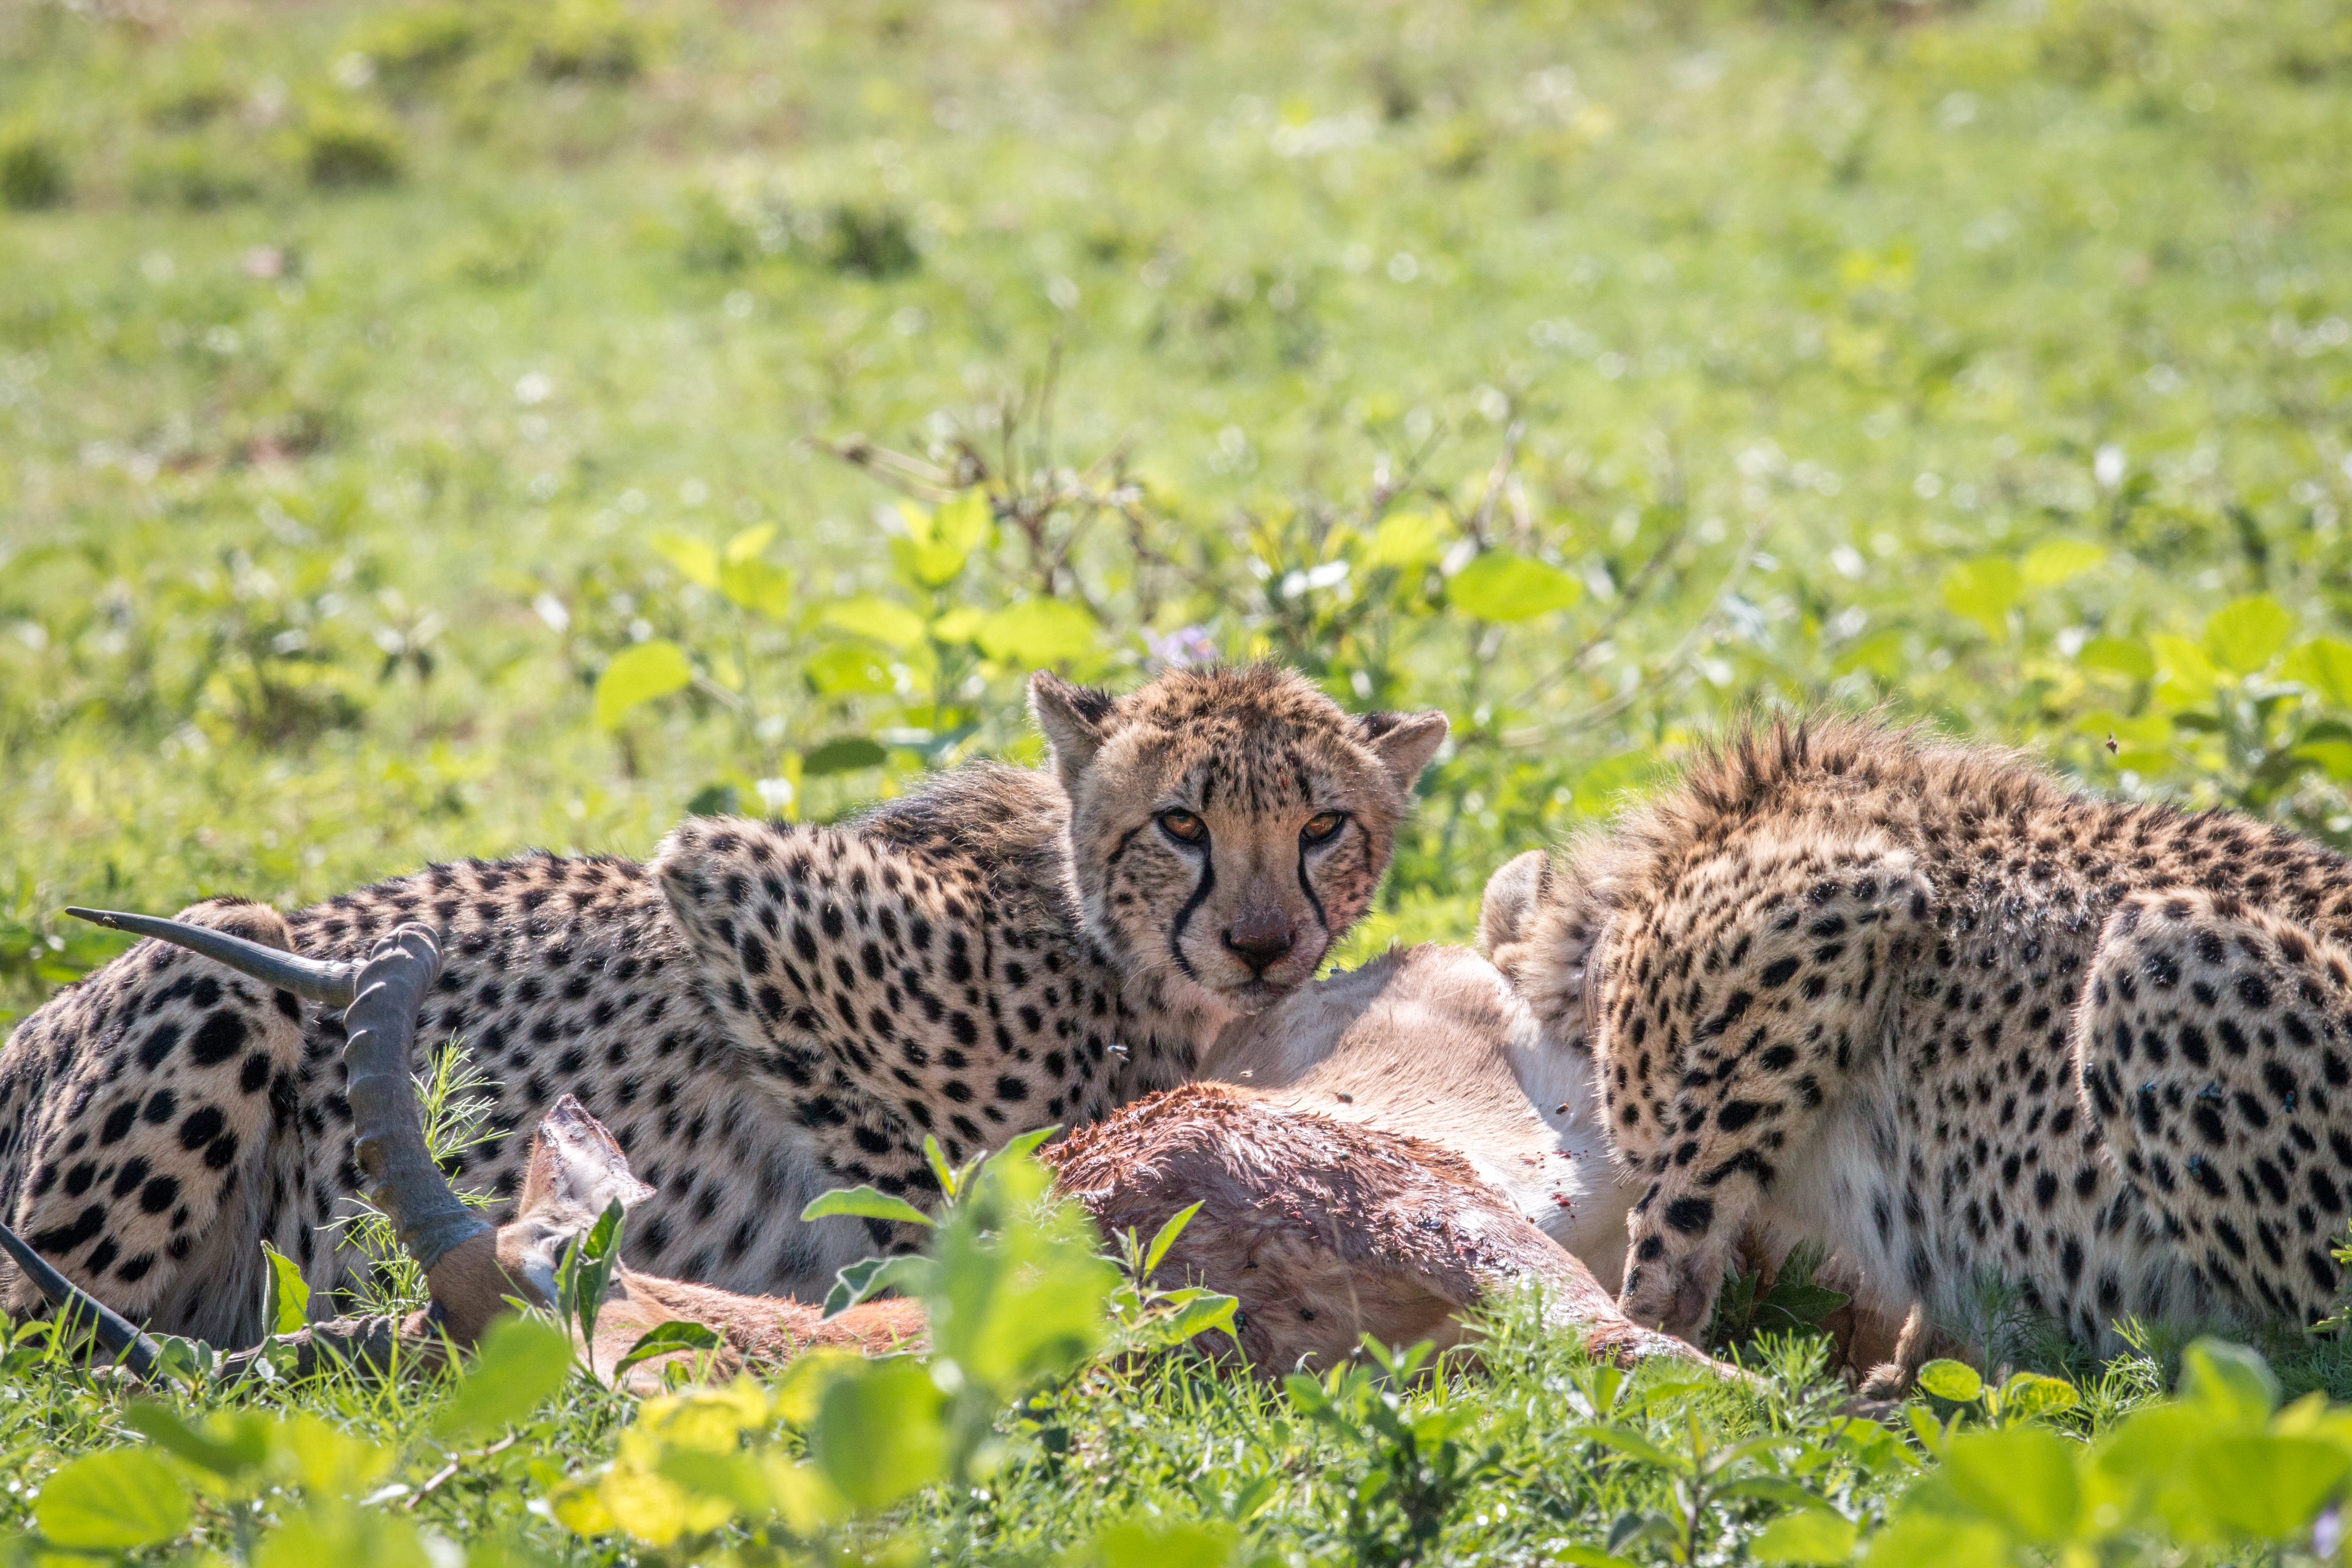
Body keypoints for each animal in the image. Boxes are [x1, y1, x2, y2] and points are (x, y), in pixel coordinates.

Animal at [0, 663, 1447, 1345]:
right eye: (1182, 825)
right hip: (222, 959)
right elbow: (907, 1169)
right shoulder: (729, 878)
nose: (1262, 946)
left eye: (1324, 827)